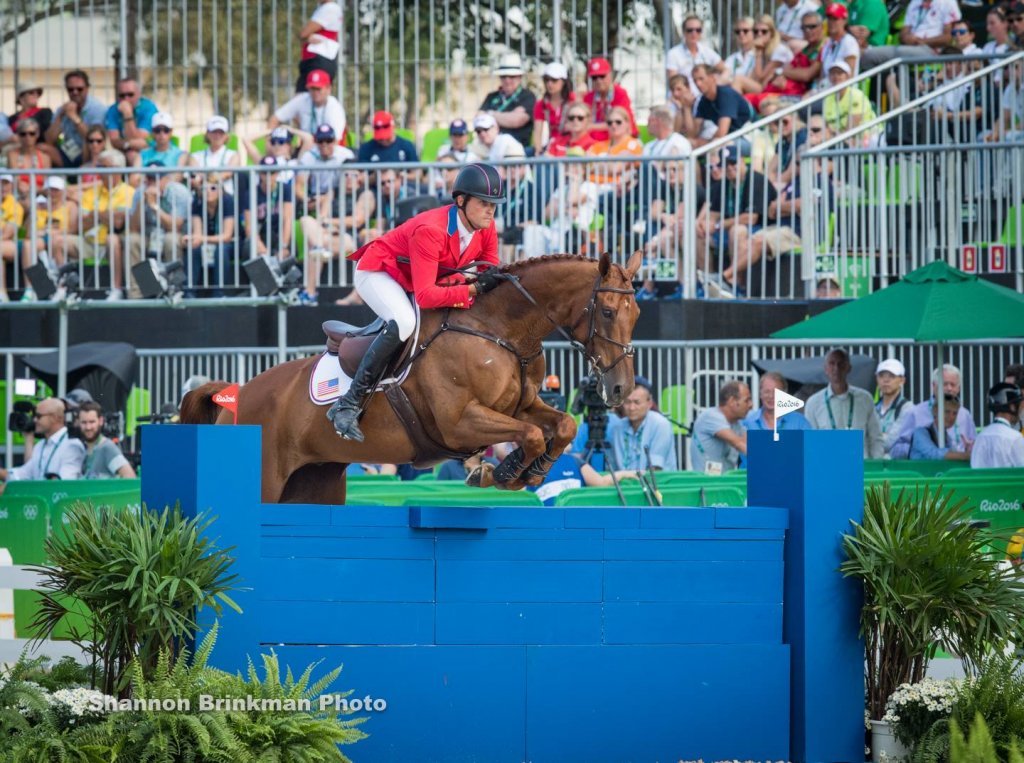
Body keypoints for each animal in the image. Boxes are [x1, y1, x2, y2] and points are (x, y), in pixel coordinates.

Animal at [181, 251, 642, 504]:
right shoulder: (459, 422)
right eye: (606, 312)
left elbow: (561, 425)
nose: (619, 389)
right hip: (266, 479)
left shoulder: (522, 406)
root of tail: (234, 394)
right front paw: (500, 472)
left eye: (636, 313)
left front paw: (528, 472)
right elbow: (529, 435)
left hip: (314, 482)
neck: (500, 329)